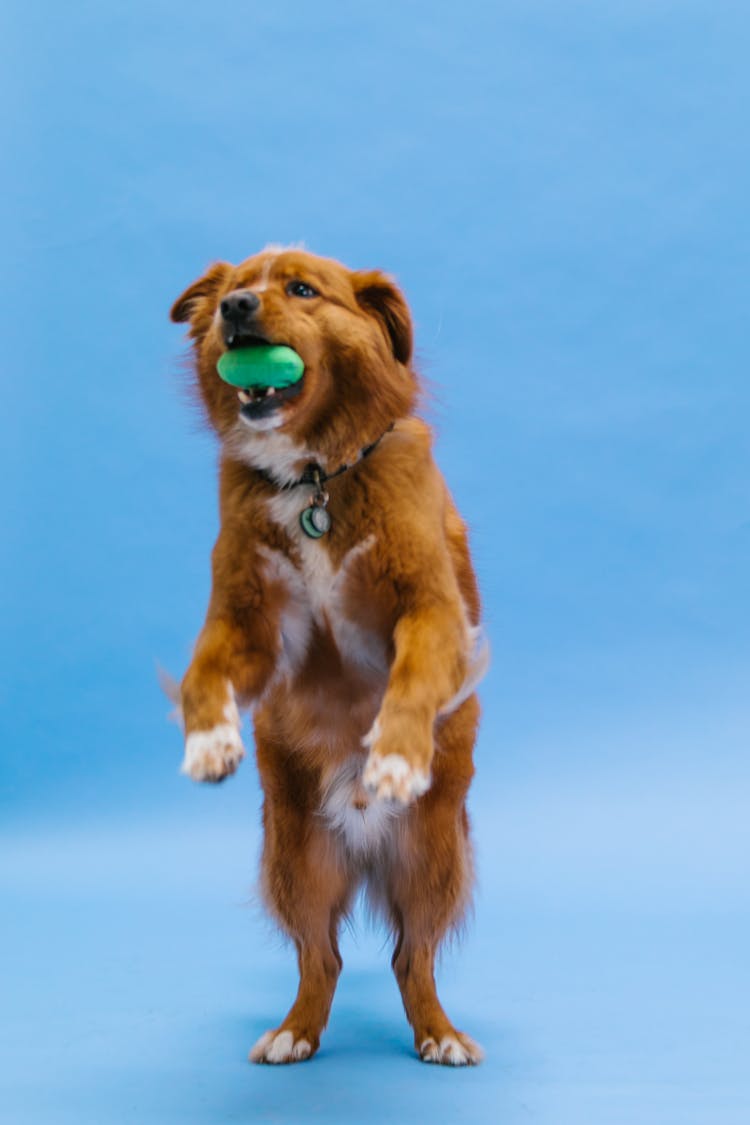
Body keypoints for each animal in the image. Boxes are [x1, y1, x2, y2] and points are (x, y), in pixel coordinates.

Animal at [169, 246, 488, 1062]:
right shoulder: (248, 620)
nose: (236, 307)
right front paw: (210, 741)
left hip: (432, 859)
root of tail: (365, 845)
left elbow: (410, 679)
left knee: (413, 956)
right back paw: (295, 1031)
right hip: (296, 859)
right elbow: (203, 671)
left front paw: (397, 755)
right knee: (323, 956)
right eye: (233, 288)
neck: (314, 477)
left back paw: (439, 1033)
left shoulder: (430, 609)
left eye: (303, 289)